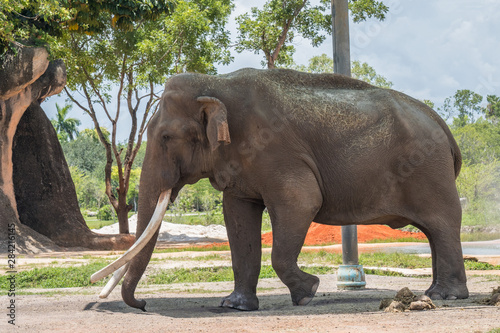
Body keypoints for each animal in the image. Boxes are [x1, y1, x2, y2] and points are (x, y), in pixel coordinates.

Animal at [91, 68, 468, 312]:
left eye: (167, 137)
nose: (142, 304)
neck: (216, 82)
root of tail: (443, 125)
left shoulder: (276, 151)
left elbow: (301, 202)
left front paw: (308, 292)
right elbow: (237, 216)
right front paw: (234, 306)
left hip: (429, 171)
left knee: (442, 224)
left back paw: (446, 296)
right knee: (434, 231)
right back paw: (438, 293)